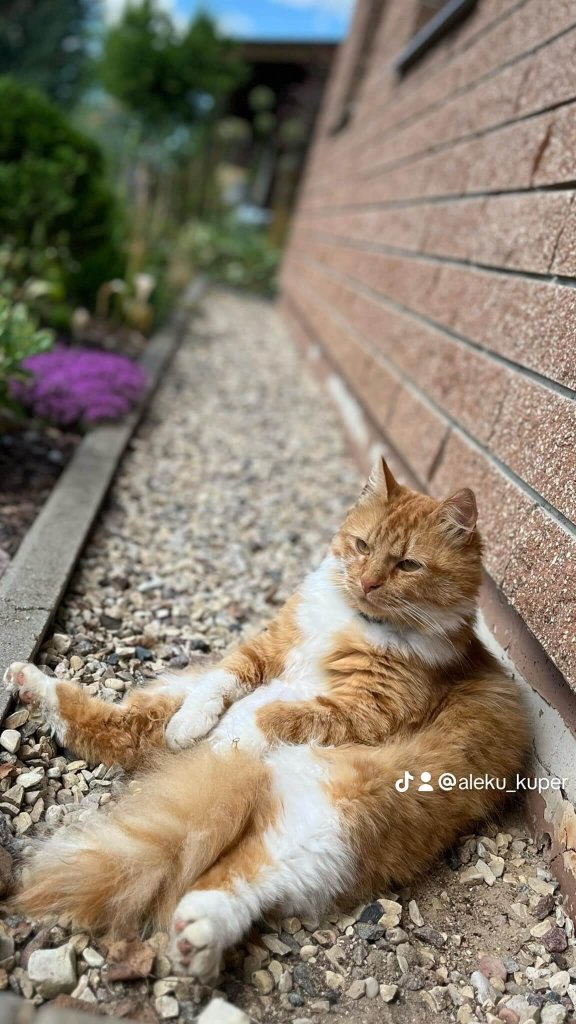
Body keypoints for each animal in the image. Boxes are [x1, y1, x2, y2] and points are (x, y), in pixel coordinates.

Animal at [3, 460, 524, 978]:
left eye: (408, 565)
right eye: (363, 546)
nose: (368, 582)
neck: (355, 623)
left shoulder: (365, 709)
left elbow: (269, 713)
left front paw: (229, 738)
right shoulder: (268, 650)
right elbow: (225, 683)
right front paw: (198, 723)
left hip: (331, 814)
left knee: (249, 871)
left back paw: (200, 930)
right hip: (191, 714)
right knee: (125, 728)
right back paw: (37, 688)